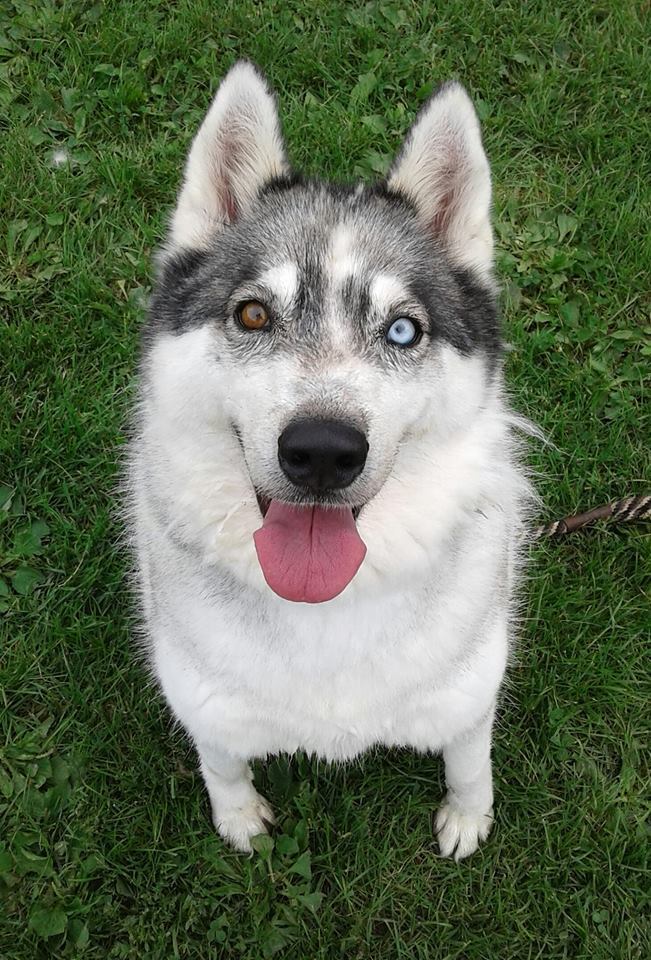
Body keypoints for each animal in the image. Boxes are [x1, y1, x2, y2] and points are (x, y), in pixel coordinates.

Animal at [127, 62, 536, 864]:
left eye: (403, 330)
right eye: (253, 314)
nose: (322, 451)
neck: (325, 609)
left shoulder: (470, 689)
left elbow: (469, 760)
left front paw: (467, 818)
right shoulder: (204, 701)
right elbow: (222, 764)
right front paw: (238, 818)